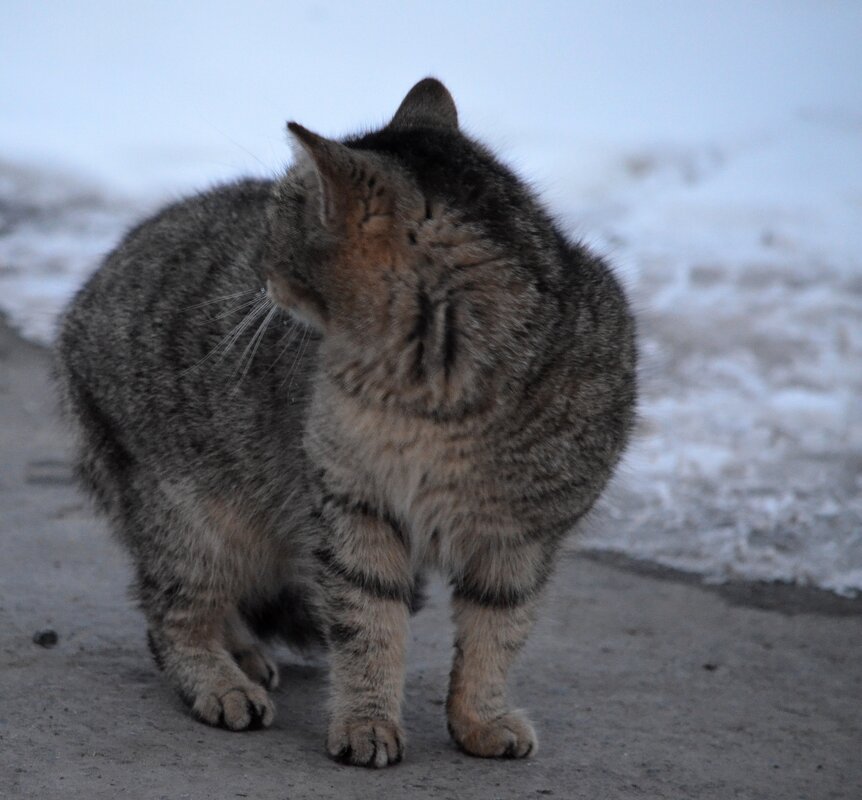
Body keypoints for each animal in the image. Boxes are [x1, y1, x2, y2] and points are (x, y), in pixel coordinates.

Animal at [52, 78, 636, 764]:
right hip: (190, 516)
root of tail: (87, 291)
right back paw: (221, 679)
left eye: (280, 220)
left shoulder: (523, 536)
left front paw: (480, 718)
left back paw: (243, 653)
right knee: (170, 614)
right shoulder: (353, 506)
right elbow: (368, 624)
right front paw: (366, 722)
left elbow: (497, 634)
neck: (434, 399)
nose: (261, 275)